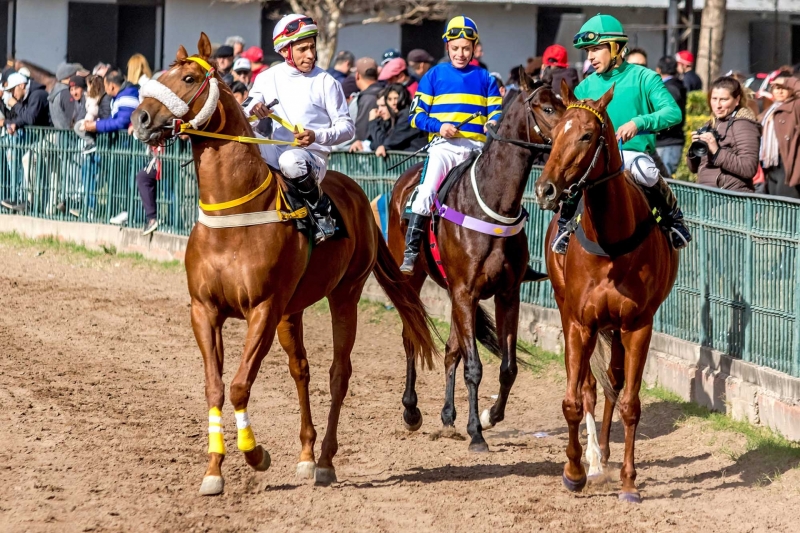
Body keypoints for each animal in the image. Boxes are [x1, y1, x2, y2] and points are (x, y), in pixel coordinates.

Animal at [133, 33, 438, 494]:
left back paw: (325, 460)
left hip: (344, 294)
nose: (141, 118)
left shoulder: (263, 308)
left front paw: (255, 454)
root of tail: (360, 197)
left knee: (338, 373)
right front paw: (213, 470)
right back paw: (307, 456)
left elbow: (240, 385)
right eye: (162, 74)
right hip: (292, 312)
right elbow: (214, 388)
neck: (233, 214)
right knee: (302, 370)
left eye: (187, 78)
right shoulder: (205, 310)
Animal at [386, 74, 564, 448]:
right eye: (547, 108)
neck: (493, 205)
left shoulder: (505, 294)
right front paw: (477, 434)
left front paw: (487, 417)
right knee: (412, 335)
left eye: (564, 103)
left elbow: (507, 367)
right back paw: (411, 410)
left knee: (451, 348)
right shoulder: (466, 293)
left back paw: (447, 415)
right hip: (412, 278)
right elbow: (474, 367)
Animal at [536, 81, 680, 500]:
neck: (611, 244)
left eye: (587, 135)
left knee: (613, 385)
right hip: (573, 315)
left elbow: (630, 402)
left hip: (614, 329)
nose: (546, 190)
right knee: (589, 386)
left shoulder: (637, 325)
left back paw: (604, 453)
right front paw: (573, 471)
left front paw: (629, 482)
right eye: (553, 133)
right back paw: (593, 458)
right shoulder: (579, 323)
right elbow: (573, 398)